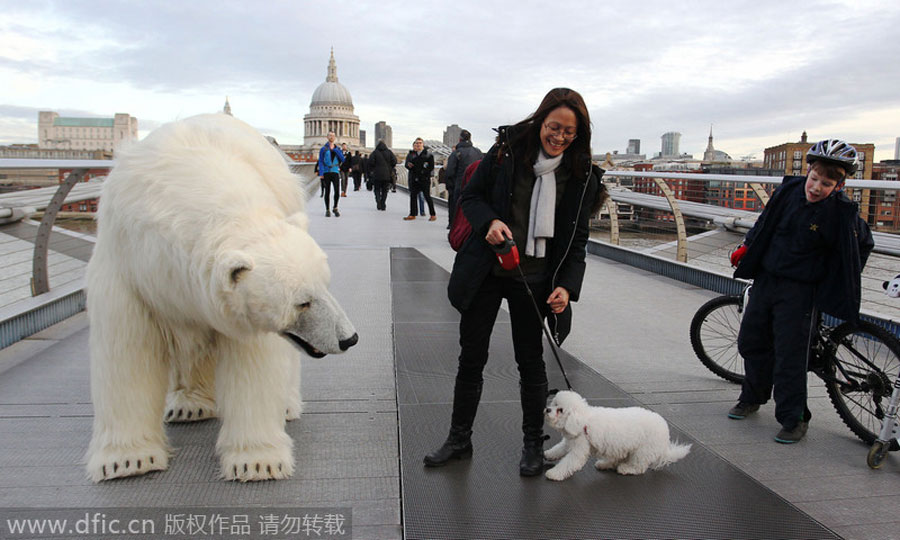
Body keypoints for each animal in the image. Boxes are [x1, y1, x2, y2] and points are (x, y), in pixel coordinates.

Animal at [84, 113, 356, 480]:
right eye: (302, 302)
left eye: (325, 284)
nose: (349, 339)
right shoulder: (129, 270)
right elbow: (127, 351)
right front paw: (127, 460)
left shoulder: (243, 309)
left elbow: (253, 361)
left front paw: (257, 461)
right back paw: (189, 405)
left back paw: (283, 405)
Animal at [540, 388, 688, 480]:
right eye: (554, 404)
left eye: (560, 410)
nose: (547, 409)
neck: (583, 421)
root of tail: (665, 436)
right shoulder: (569, 441)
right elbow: (558, 449)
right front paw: (548, 454)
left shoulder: (579, 449)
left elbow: (568, 463)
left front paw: (554, 473)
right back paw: (604, 464)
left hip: (642, 452)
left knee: (639, 467)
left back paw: (626, 469)